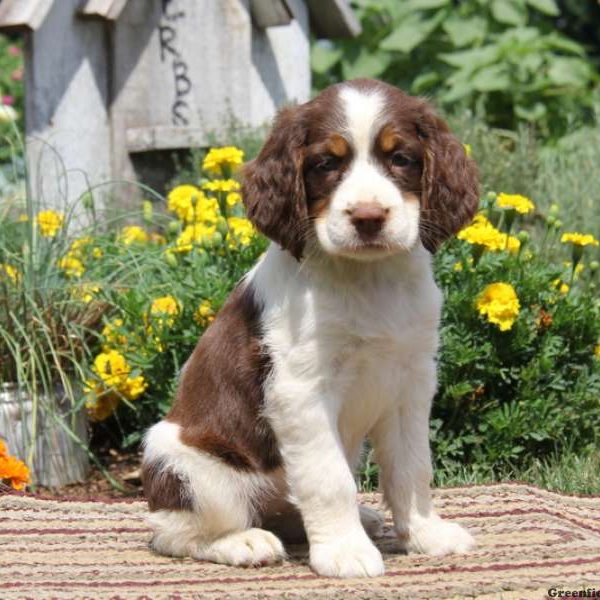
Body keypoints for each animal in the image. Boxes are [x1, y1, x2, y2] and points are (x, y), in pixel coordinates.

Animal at [141, 77, 478, 580]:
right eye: (326, 163)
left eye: (400, 158)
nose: (368, 217)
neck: (367, 278)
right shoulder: (301, 391)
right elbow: (329, 478)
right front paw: (344, 552)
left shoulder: (411, 382)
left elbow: (412, 467)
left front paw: (425, 534)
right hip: (184, 462)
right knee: (176, 532)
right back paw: (242, 542)